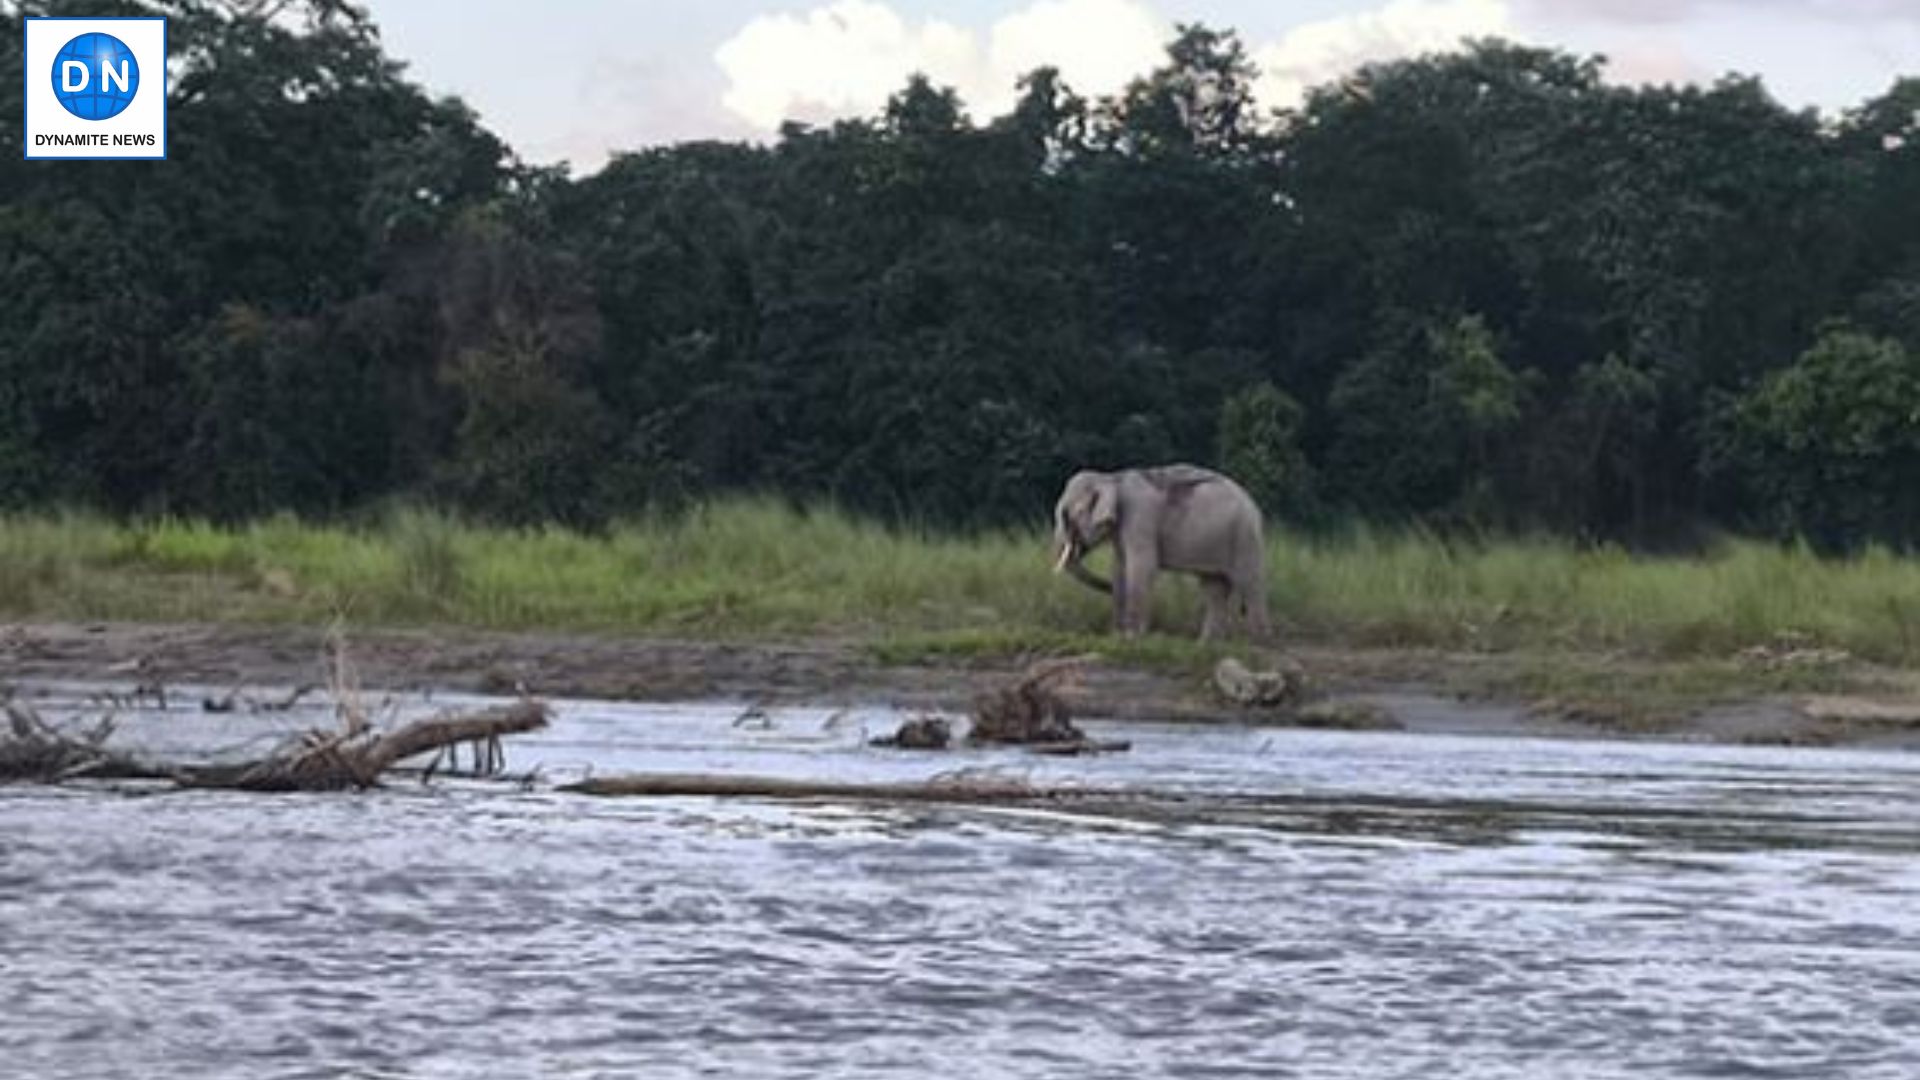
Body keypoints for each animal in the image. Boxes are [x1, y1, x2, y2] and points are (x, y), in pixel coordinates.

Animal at [1052, 457, 1274, 634]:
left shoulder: (1139, 516)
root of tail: (1255, 507)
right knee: (1214, 588)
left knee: (1248, 584)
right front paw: (1117, 634)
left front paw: (1132, 636)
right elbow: (1120, 567)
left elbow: (1142, 566)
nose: (1107, 586)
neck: (1112, 478)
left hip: (1245, 538)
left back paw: (1258, 641)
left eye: (1067, 515)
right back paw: (1206, 644)